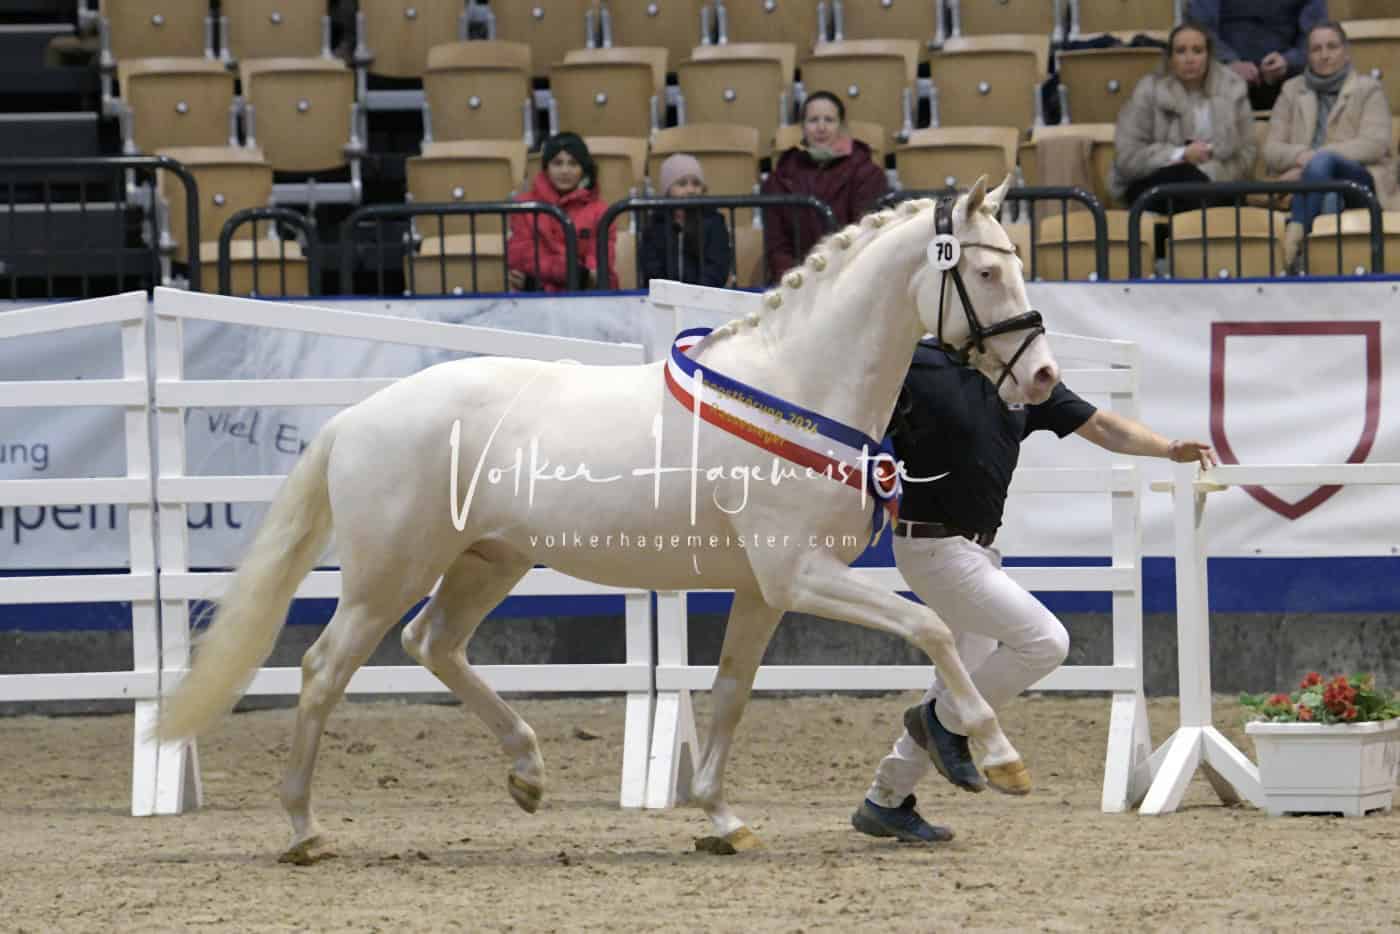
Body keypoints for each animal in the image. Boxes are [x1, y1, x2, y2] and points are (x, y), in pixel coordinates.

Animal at [156, 176, 1060, 863]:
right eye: (985, 273)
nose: (1043, 376)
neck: (798, 389)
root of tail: (354, 417)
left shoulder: (765, 590)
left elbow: (730, 693)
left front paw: (722, 820)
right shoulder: (802, 576)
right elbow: (933, 631)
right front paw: (1002, 759)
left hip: (489, 561)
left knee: (432, 643)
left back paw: (527, 773)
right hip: (388, 574)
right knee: (323, 668)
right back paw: (304, 829)